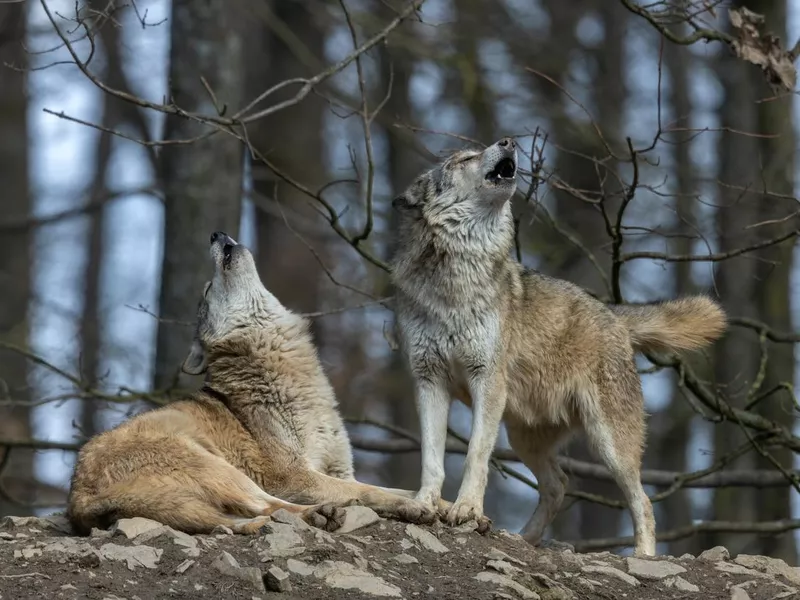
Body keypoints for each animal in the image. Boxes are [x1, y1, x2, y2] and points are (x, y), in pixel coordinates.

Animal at [68, 231, 440, 536]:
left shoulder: (340, 469)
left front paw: (440, 505)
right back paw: (319, 514)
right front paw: (412, 507)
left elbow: (394, 489)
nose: (216, 233)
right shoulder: (294, 476)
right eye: (207, 289)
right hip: (218, 467)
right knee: (270, 506)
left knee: (236, 519)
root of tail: (78, 498)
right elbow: (369, 491)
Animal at [390, 138, 728, 556]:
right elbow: (432, 458)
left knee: (642, 501)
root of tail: (614, 314)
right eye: (464, 159)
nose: (508, 141)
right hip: (524, 438)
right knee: (558, 485)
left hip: (609, 443)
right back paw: (523, 539)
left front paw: (466, 509)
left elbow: (475, 456)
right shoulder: (428, 381)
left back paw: (643, 557)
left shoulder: (487, 380)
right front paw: (423, 504)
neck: (455, 278)